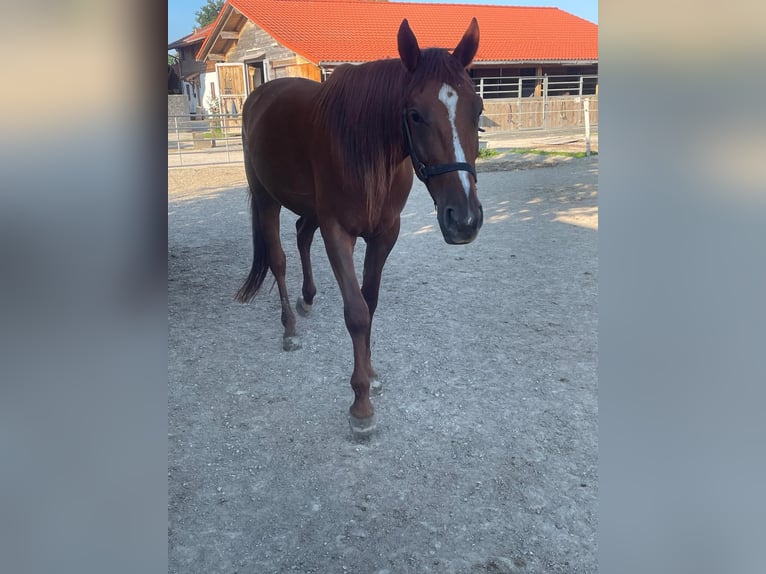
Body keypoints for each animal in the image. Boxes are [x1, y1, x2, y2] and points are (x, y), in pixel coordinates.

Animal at [237, 20, 484, 438]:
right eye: (415, 114)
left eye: (478, 109)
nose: (463, 219)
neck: (366, 146)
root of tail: (261, 94)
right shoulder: (339, 232)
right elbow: (356, 312)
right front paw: (361, 406)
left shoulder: (385, 234)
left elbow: (370, 303)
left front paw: (370, 373)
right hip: (267, 198)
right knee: (278, 259)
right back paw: (290, 329)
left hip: (309, 209)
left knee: (302, 233)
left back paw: (307, 298)